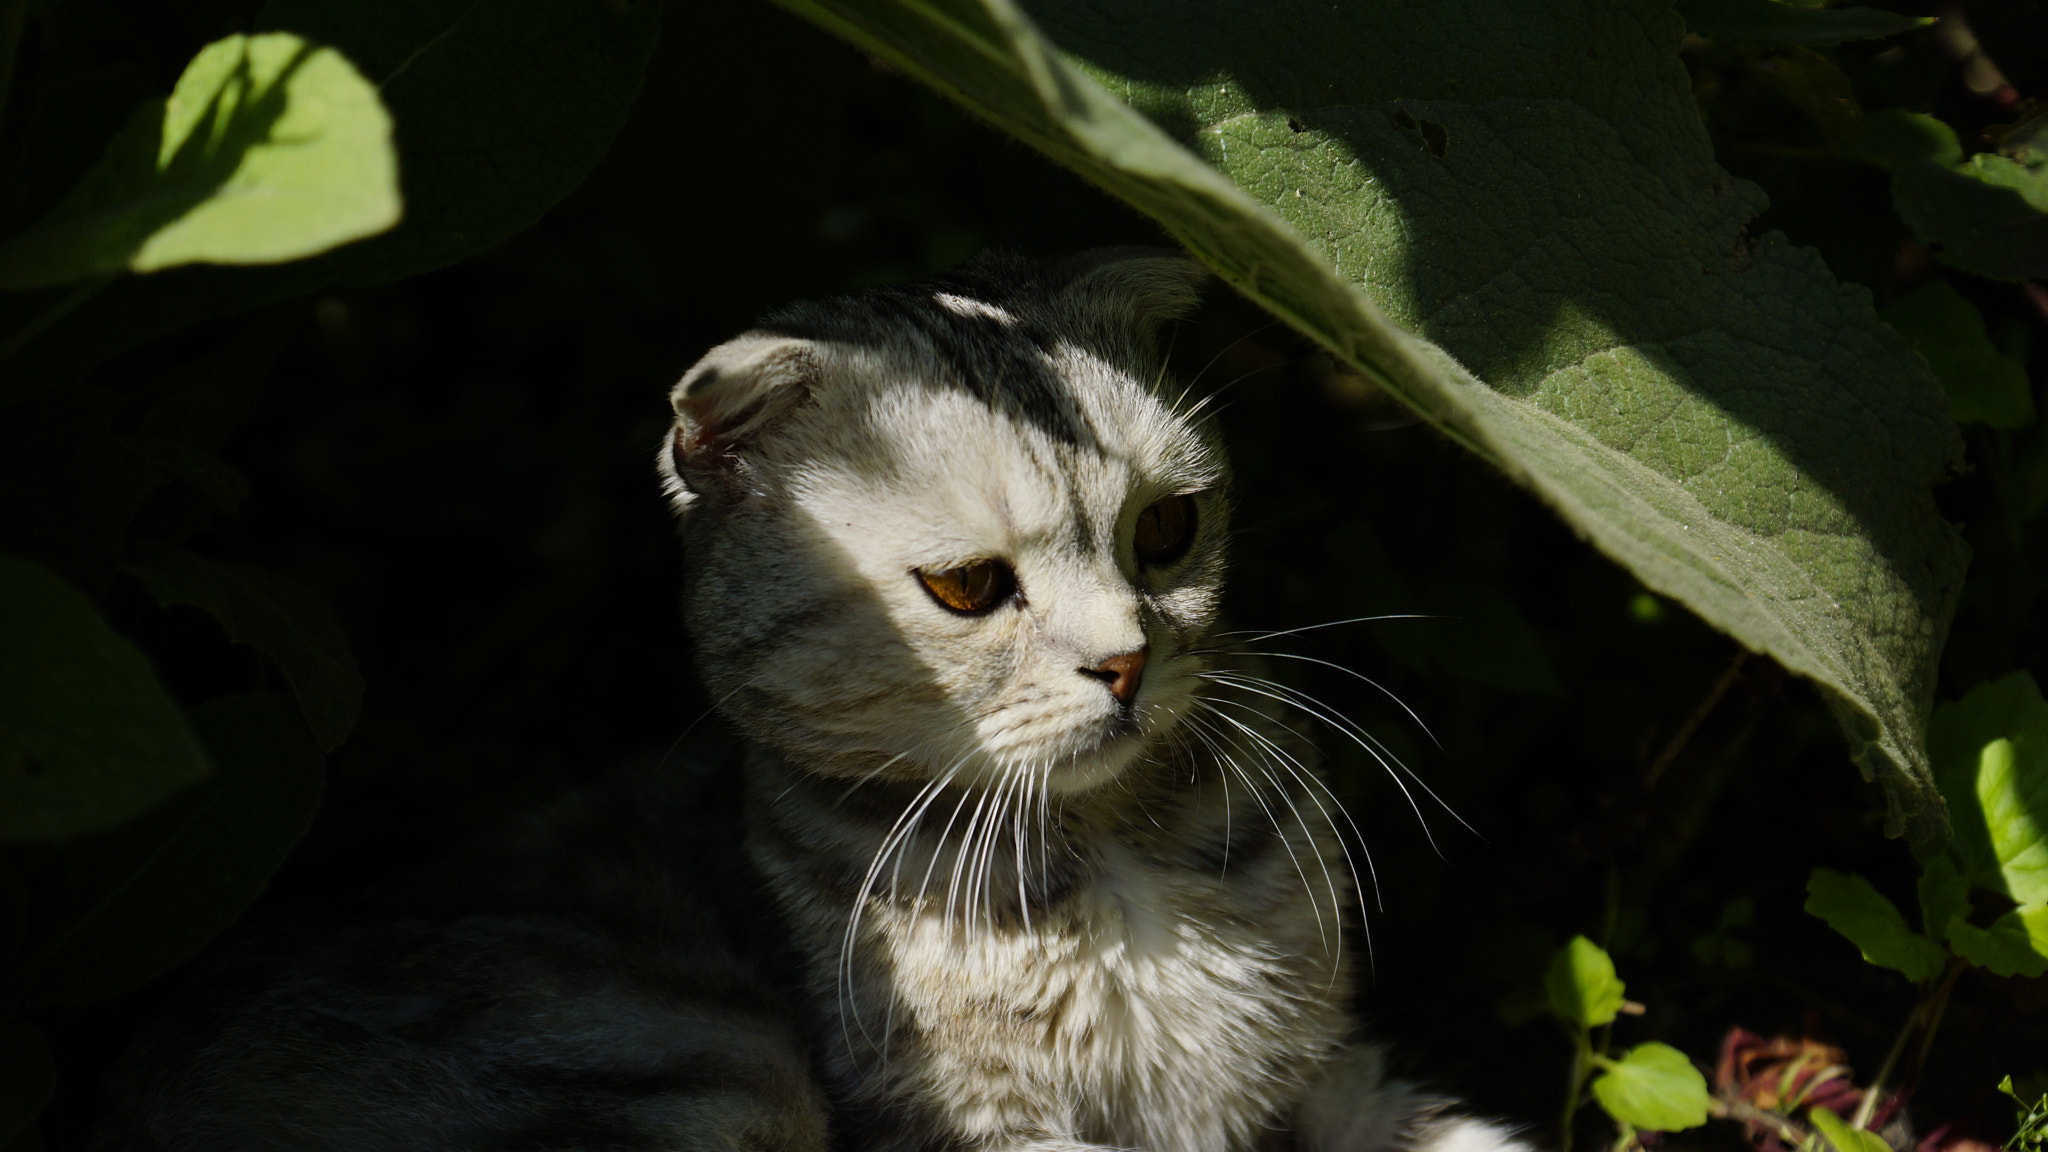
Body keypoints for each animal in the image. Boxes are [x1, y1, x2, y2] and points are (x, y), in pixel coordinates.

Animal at [99, 247, 1540, 1147]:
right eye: (966, 587)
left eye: (1168, 531)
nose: (1129, 658)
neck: (1103, 856)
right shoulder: (952, 1129)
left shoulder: (1322, 1082)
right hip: (703, 1061)